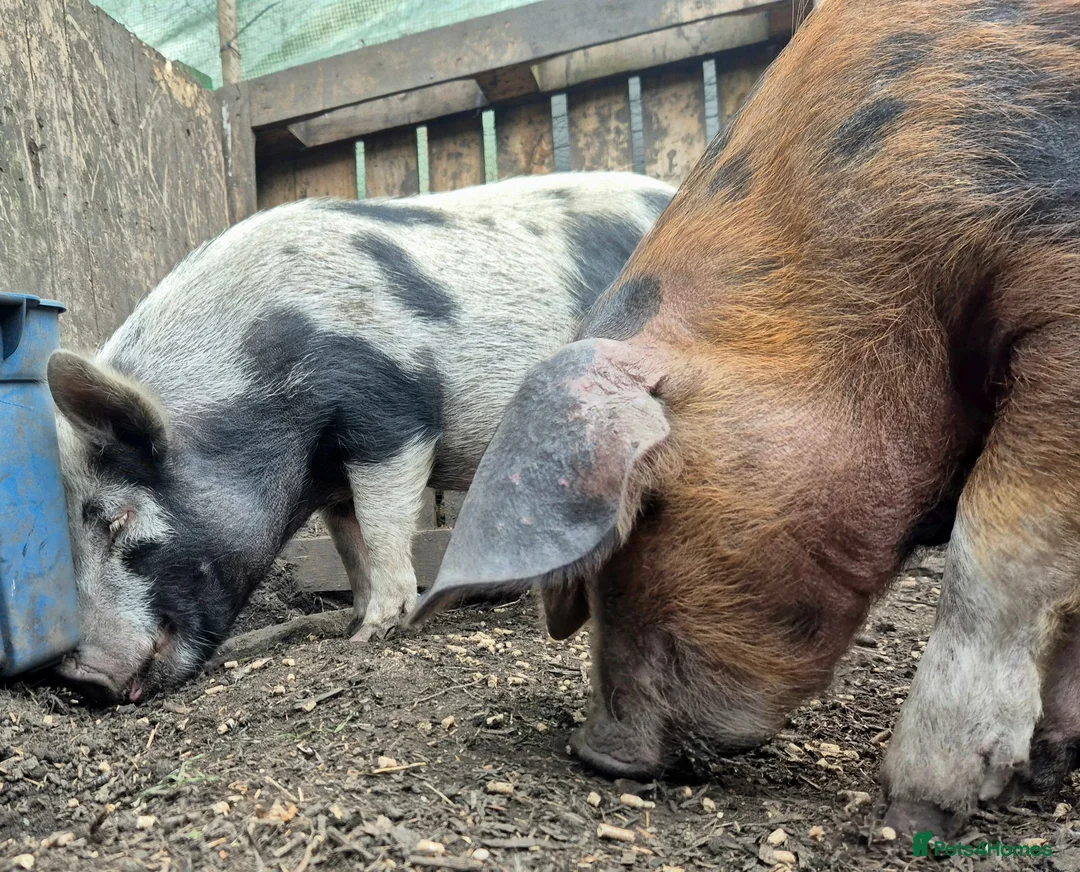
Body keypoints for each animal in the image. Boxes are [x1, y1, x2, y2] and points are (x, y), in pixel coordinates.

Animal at [47, 171, 675, 704]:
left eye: (115, 518)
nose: (82, 679)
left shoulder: (391, 411)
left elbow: (382, 526)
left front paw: (372, 635)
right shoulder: (331, 478)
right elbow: (351, 543)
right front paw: (353, 623)